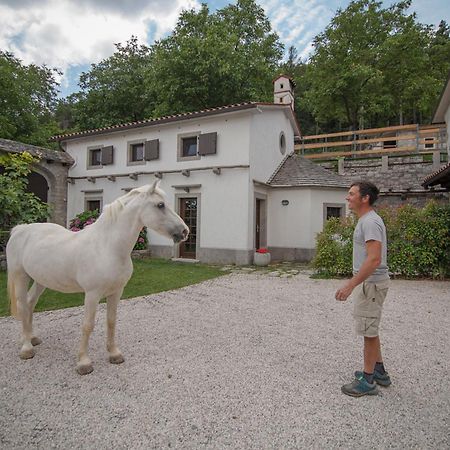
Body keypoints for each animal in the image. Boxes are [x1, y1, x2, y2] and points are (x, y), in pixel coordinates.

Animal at [7, 181, 190, 374]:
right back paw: (27, 348)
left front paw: (114, 354)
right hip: (21, 276)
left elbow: (111, 322)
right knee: (22, 305)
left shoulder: (116, 292)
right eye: (160, 205)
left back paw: (32, 338)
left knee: (30, 303)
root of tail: (20, 229)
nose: (185, 231)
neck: (107, 247)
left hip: (41, 280)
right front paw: (83, 362)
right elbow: (88, 325)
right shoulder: (92, 294)